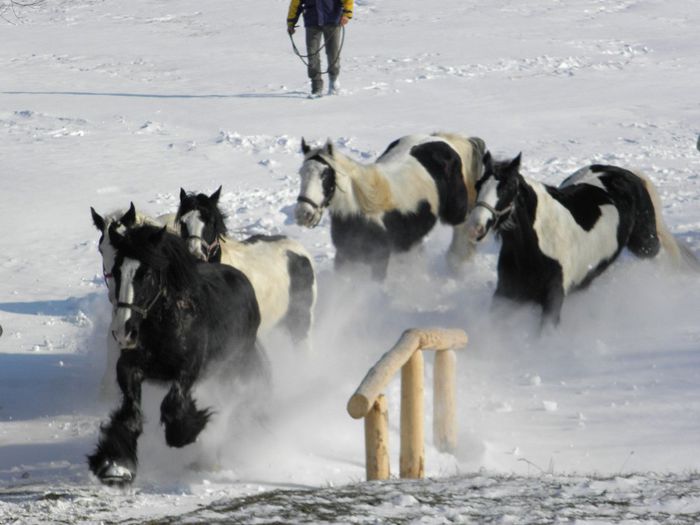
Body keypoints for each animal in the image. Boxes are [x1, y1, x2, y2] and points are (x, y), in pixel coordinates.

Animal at [294, 132, 486, 278]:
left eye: (325, 175)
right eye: (301, 173)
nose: (303, 214)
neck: (360, 212)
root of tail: (446, 140)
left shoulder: (379, 259)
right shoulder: (344, 256)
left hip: (457, 214)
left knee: (462, 235)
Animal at [462, 149, 696, 326]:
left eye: (508, 187)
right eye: (478, 185)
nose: (476, 228)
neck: (538, 246)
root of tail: (630, 175)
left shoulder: (553, 299)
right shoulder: (505, 296)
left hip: (645, 244)